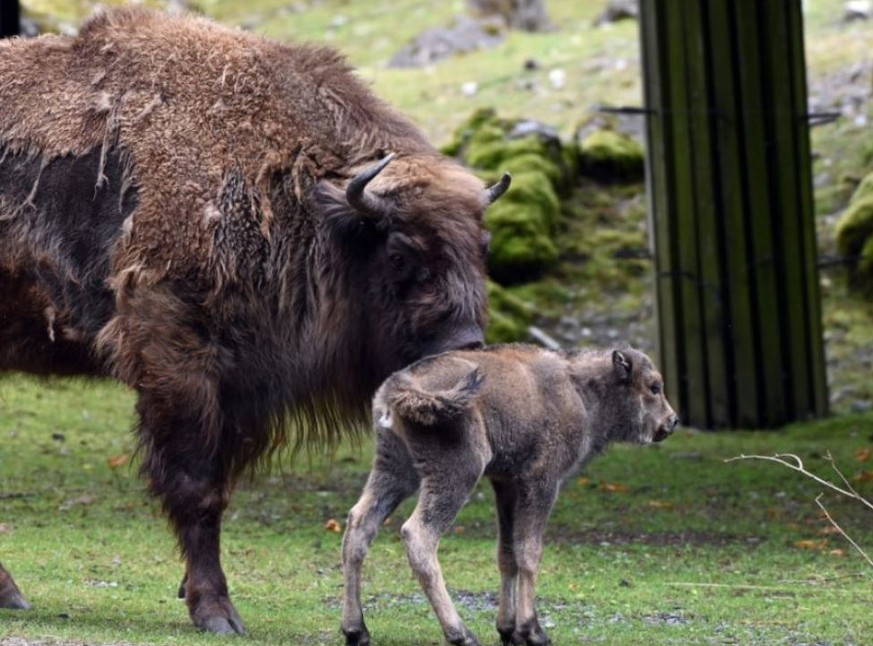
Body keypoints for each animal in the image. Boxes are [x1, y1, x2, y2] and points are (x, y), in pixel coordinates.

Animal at [0, 8, 508, 636]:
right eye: (399, 252)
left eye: (483, 246)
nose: (467, 345)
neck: (300, 193)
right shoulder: (179, 361)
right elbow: (197, 489)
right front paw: (217, 612)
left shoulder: (240, 392)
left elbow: (218, 488)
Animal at [340, 346, 676, 644]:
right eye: (654, 386)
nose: (672, 421)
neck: (582, 390)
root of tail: (400, 384)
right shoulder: (541, 482)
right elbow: (529, 551)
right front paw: (532, 631)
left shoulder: (506, 485)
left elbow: (507, 553)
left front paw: (507, 629)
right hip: (455, 474)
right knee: (418, 535)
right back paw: (461, 634)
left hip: (395, 469)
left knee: (359, 524)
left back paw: (356, 630)